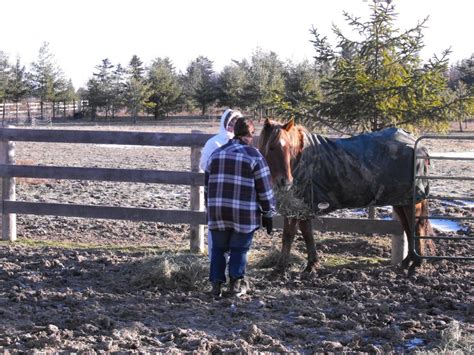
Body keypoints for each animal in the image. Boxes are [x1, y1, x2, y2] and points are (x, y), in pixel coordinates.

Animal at [260, 119, 434, 276]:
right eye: (272, 147)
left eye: (289, 147)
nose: (285, 181)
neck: (301, 159)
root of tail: (418, 146)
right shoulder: (303, 208)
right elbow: (306, 234)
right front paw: (311, 264)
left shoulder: (297, 208)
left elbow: (289, 235)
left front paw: (280, 267)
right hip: (401, 200)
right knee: (407, 227)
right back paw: (407, 261)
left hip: (411, 202)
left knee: (416, 227)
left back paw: (416, 264)